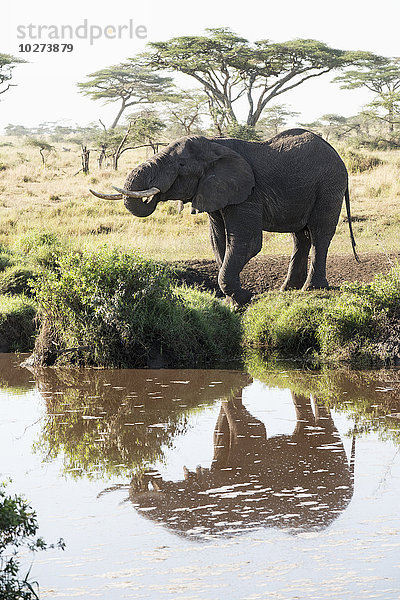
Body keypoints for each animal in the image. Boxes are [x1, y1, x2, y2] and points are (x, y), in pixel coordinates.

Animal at [90, 127, 360, 304]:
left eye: (181, 166)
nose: (152, 194)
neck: (214, 144)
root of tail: (339, 157)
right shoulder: (215, 192)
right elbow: (218, 241)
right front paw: (234, 303)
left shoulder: (248, 192)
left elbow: (247, 242)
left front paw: (246, 298)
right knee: (300, 237)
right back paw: (287, 290)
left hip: (329, 186)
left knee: (319, 234)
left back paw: (310, 290)